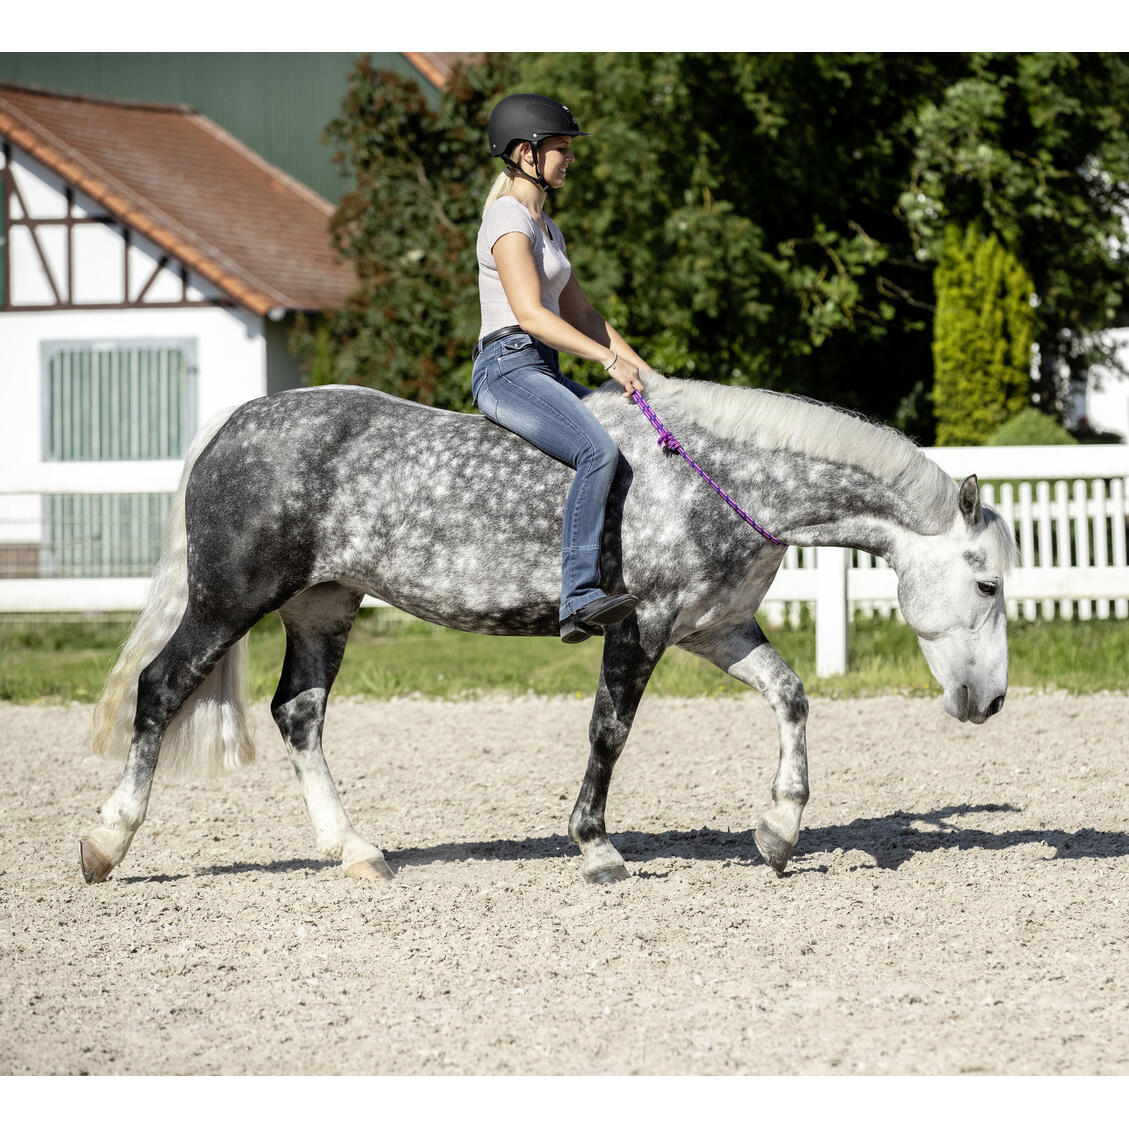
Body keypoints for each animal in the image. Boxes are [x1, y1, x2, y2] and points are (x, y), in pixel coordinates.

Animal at [80, 371, 1017, 886]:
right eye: (986, 580)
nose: (989, 700)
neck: (718, 475)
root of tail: (234, 423)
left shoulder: (714, 629)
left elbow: (790, 698)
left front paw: (778, 830)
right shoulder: (640, 625)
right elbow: (609, 730)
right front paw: (596, 847)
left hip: (324, 605)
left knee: (298, 715)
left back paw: (355, 849)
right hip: (227, 601)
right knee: (160, 688)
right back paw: (105, 841)